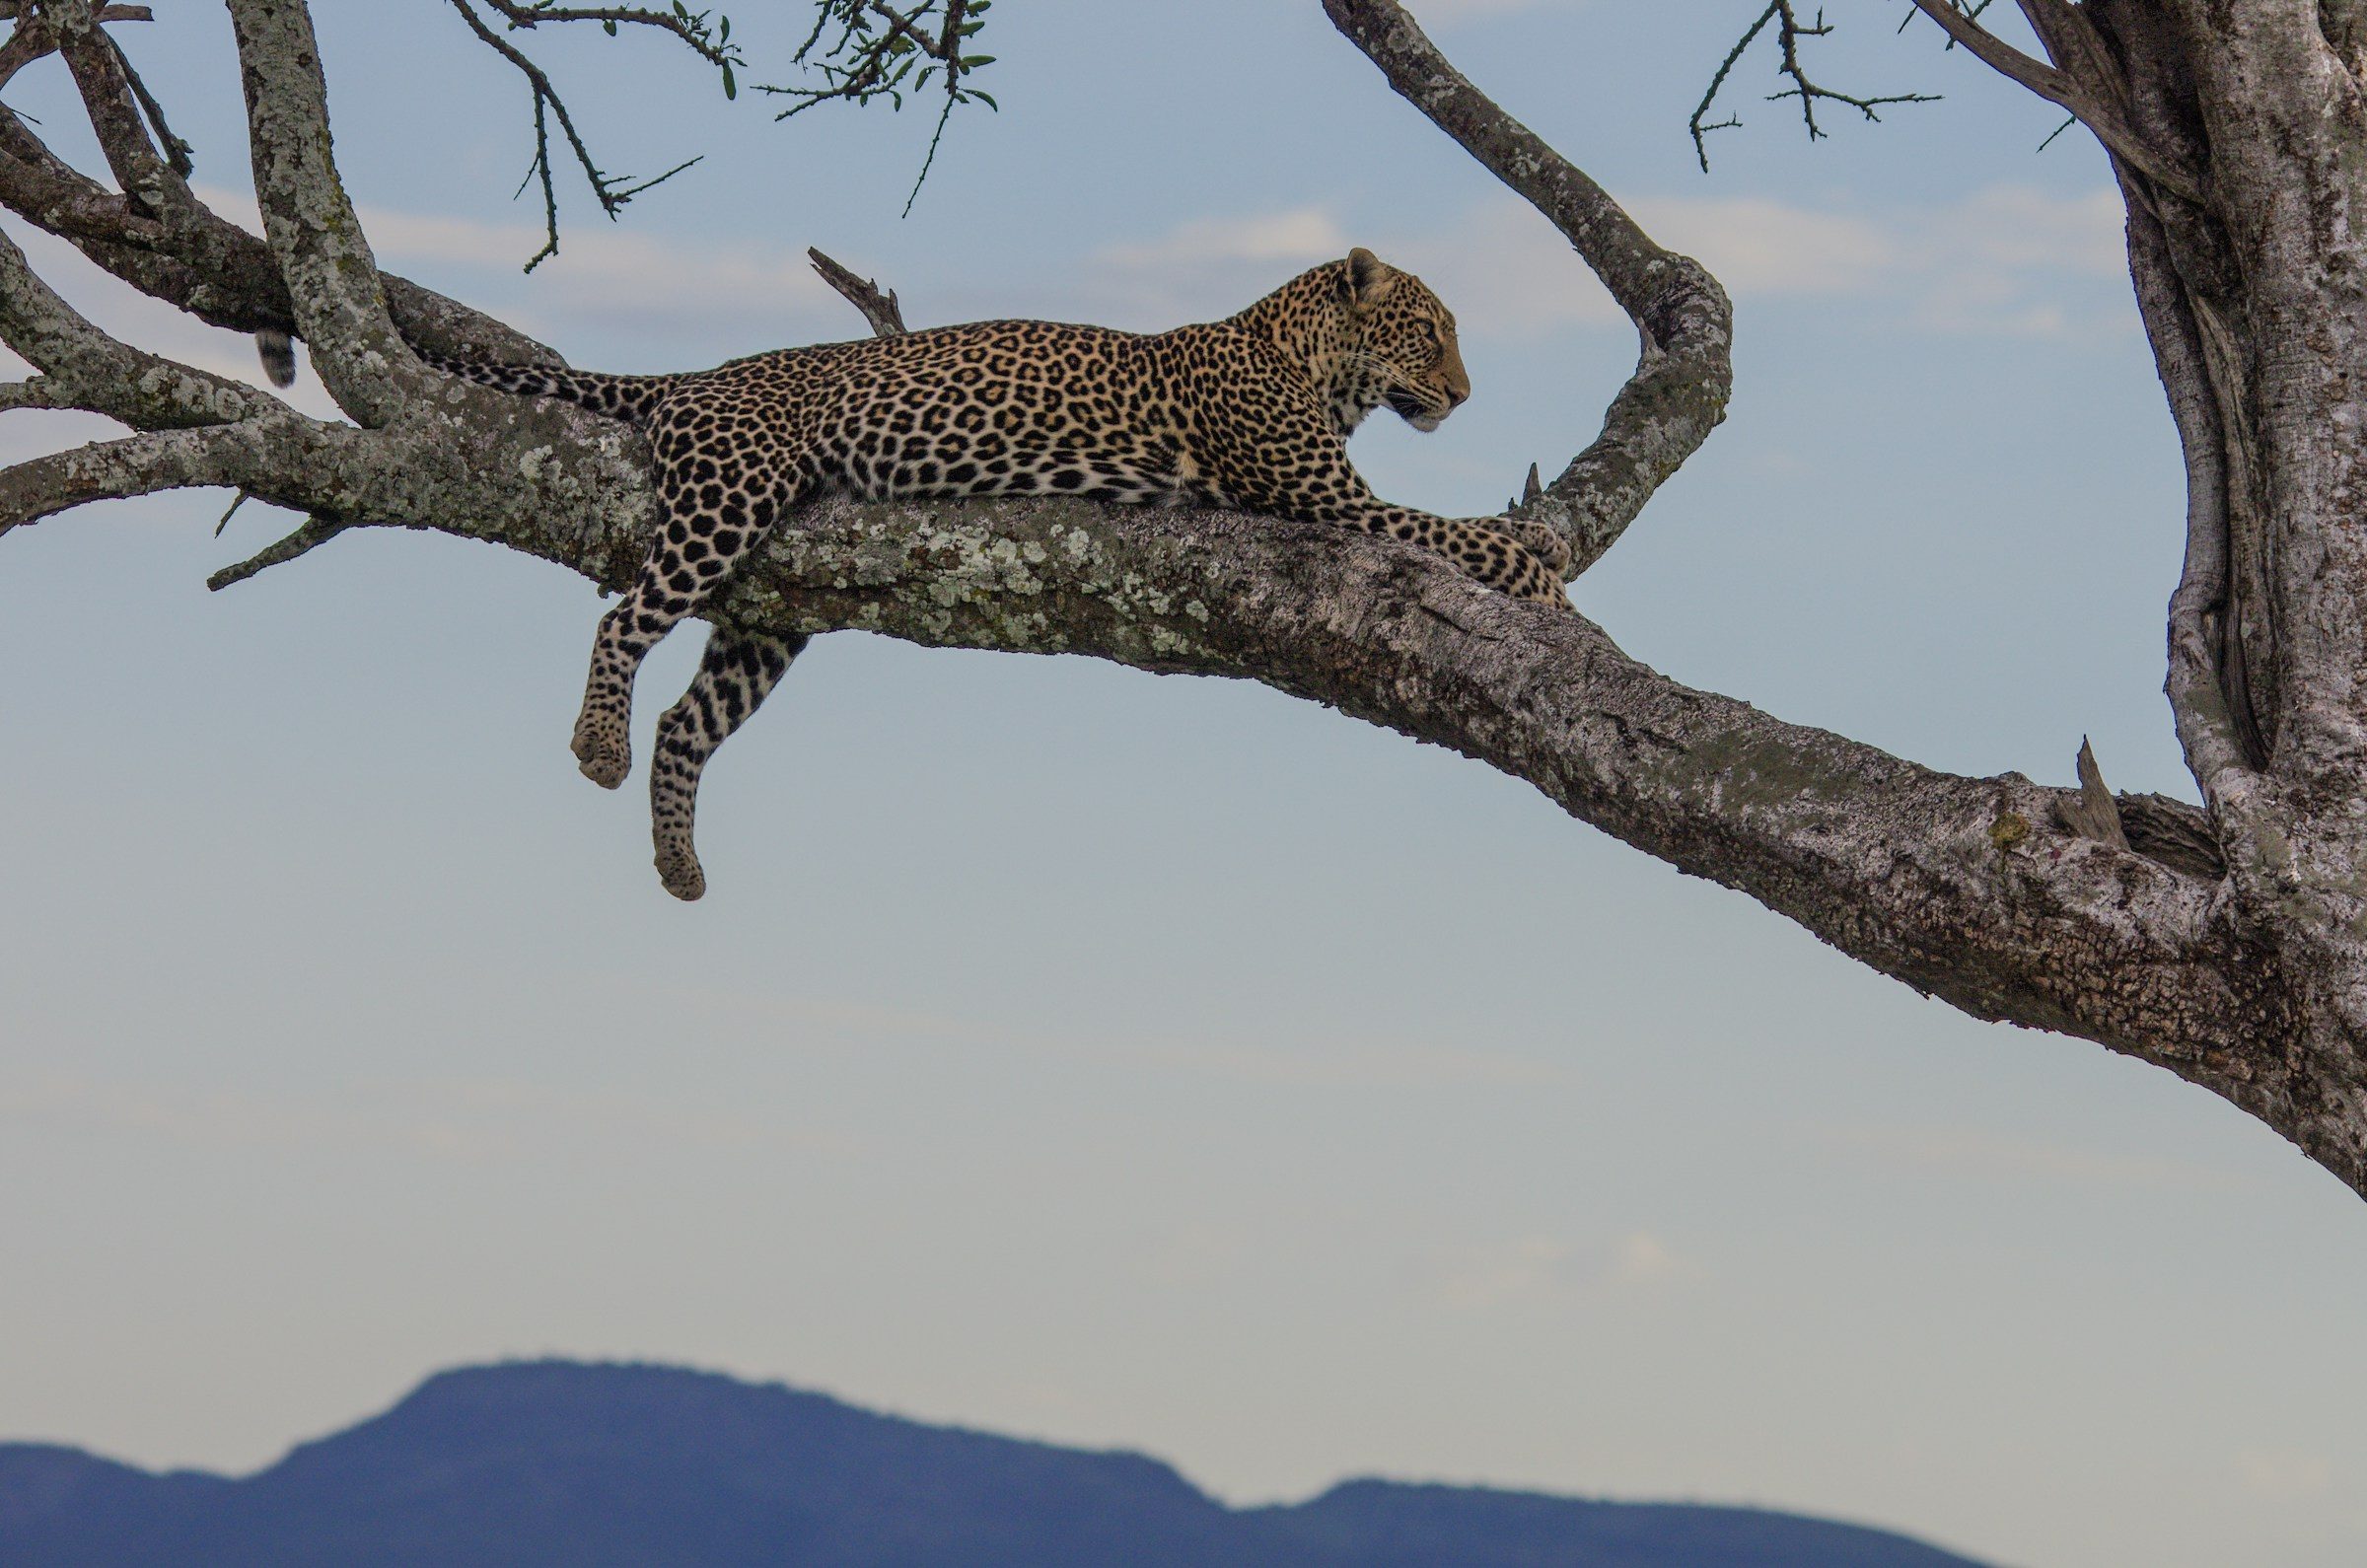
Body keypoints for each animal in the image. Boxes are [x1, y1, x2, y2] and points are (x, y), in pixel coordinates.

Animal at [424, 247, 1573, 901]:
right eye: (1428, 331)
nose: (1463, 395)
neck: (1305, 359)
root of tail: (703, 374)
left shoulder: (1336, 493)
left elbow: (1455, 526)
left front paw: (1546, 550)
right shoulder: (1328, 501)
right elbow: (1453, 533)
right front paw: (1544, 568)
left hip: (772, 604)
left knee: (687, 721)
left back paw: (679, 864)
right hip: (730, 495)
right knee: (622, 618)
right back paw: (596, 745)